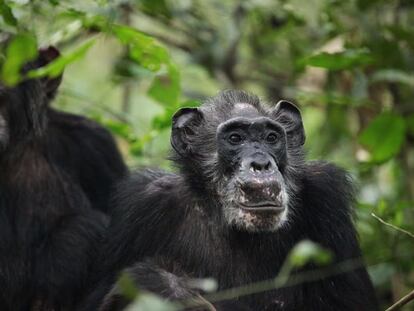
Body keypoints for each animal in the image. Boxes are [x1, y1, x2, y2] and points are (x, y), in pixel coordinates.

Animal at [83, 91, 378, 311]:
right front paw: (166, 286)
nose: (260, 163)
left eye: (271, 138)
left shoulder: (327, 199)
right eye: (235, 138)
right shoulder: (142, 204)